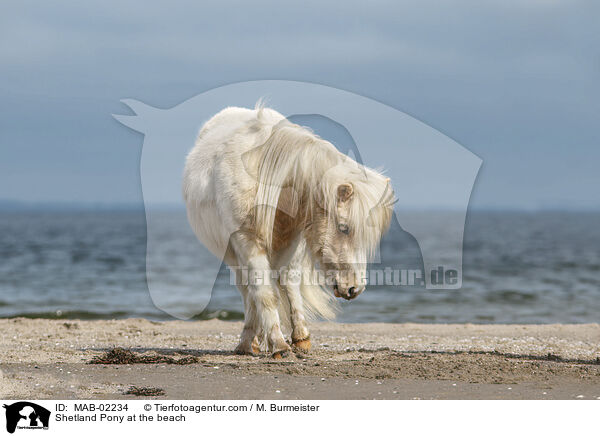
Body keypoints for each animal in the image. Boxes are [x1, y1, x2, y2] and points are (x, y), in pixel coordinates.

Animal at [185, 103, 396, 358]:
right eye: (344, 228)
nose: (355, 288)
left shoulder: (290, 242)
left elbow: (282, 285)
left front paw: (287, 339)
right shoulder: (247, 241)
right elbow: (264, 292)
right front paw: (277, 344)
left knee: (286, 283)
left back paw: (294, 337)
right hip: (234, 253)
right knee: (248, 289)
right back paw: (250, 341)